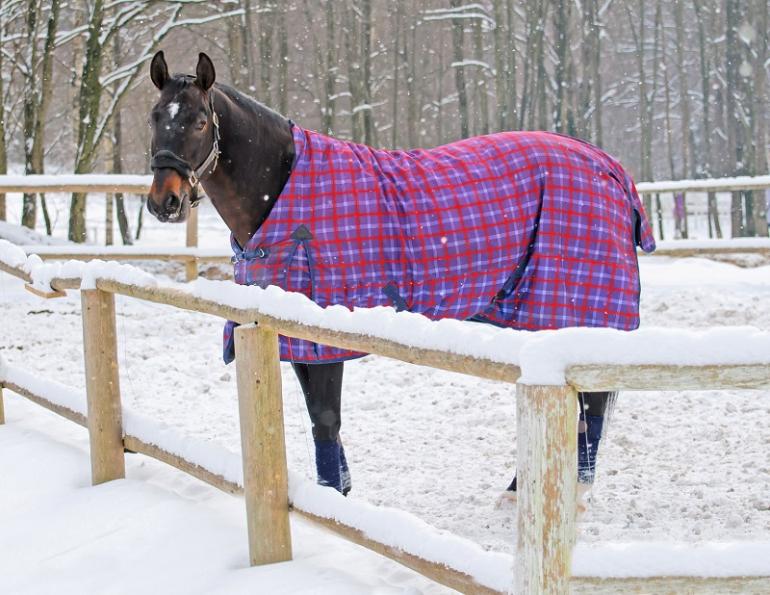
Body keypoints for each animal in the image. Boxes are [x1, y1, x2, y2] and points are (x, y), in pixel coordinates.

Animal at [146, 51, 655, 499]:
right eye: (154, 117)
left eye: (199, 121)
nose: (163, 202)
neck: (285, 188)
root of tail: (608, 167)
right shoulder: (293, 337)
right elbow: (318, 420)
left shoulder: (325, 340)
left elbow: (326, 419)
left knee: (589, 409)